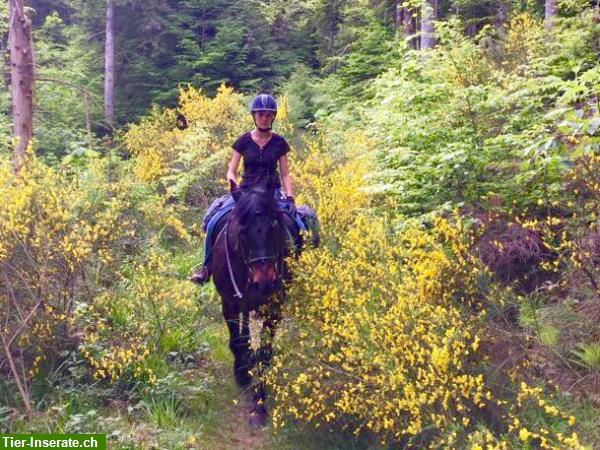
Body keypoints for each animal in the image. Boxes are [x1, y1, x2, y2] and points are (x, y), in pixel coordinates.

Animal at [210, 179, 298, 426]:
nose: (265, 282)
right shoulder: (229, 302)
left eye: (275, 226)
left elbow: (265, 353)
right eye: (242, 230)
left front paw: (259, 405)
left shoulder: (275, 308)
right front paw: (241, 372)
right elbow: (237, 341)